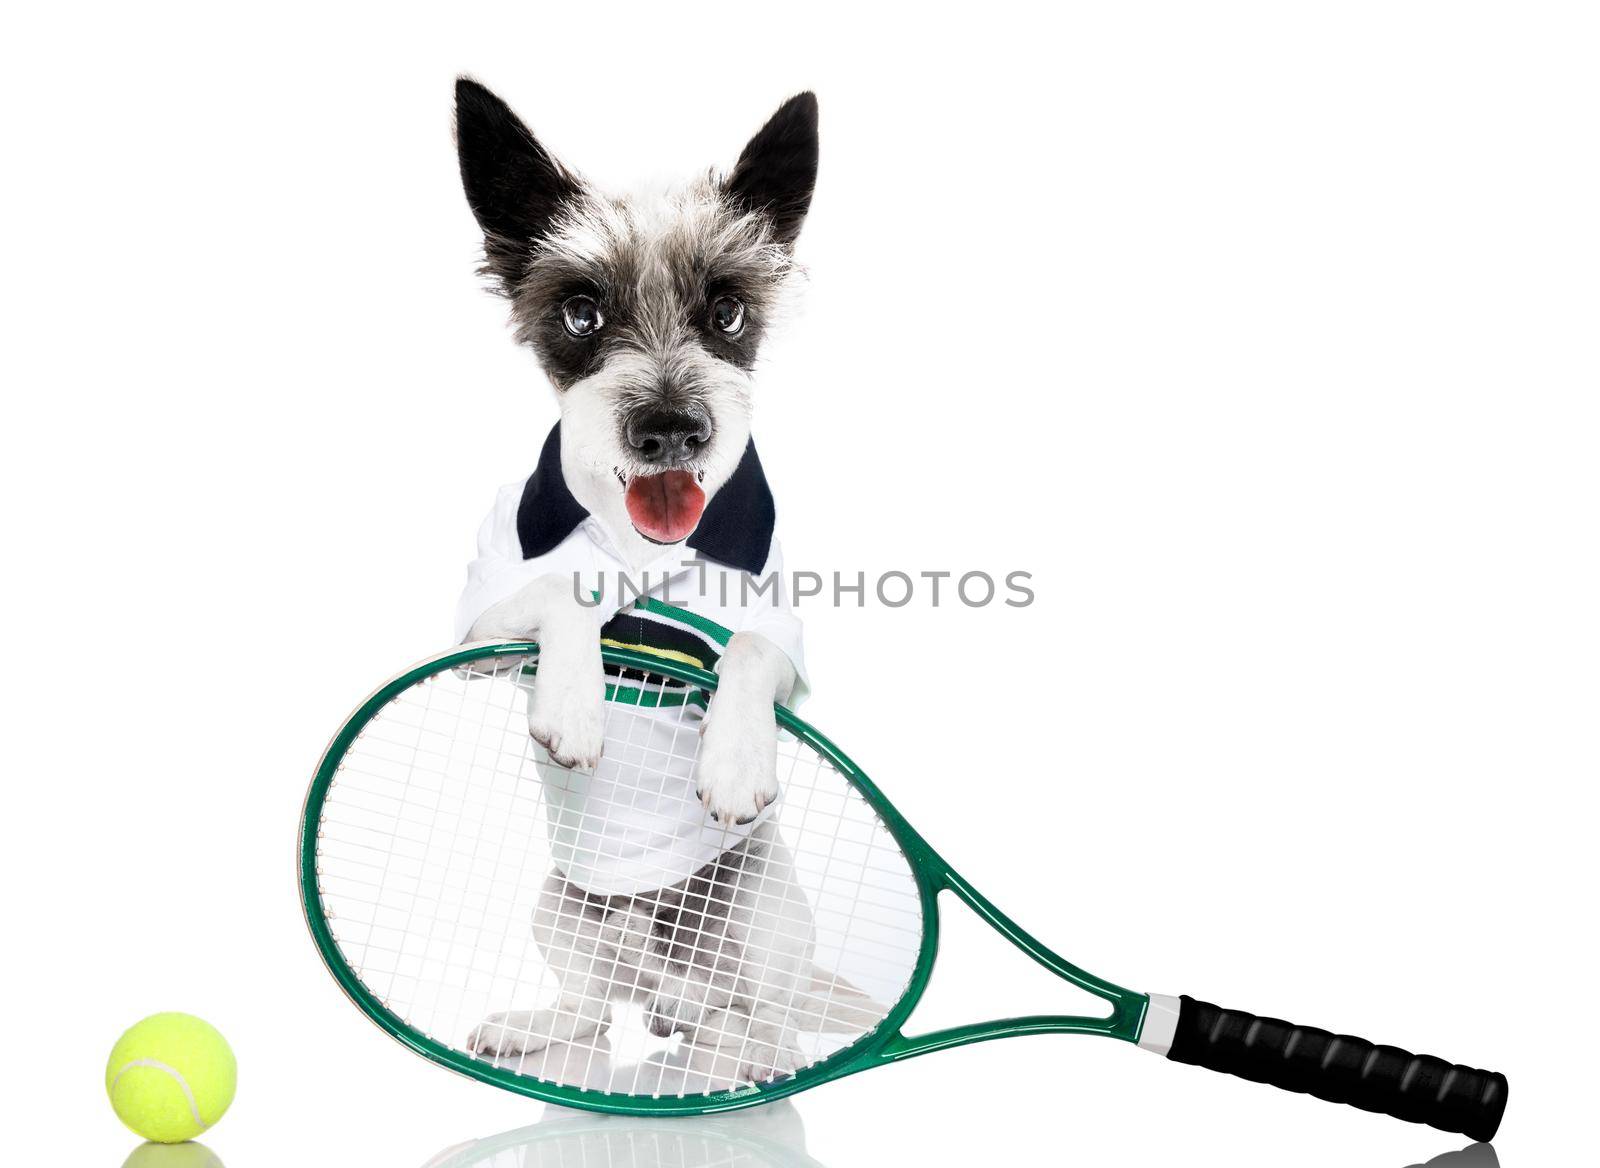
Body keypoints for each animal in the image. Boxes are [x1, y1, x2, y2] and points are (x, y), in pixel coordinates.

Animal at [444, 79, 883, 1081]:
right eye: (581, 313)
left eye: (727, 312)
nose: (674, 430)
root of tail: (672, 983)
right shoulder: (475, 634)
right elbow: (559, 595)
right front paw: (574, 703)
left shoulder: (785, 642)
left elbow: (753, 648)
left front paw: (733, 761)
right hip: (563, 905)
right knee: (598, 1010)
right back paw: (541, 1026)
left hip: (758, 908)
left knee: (767, 1031)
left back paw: (727, 1061)